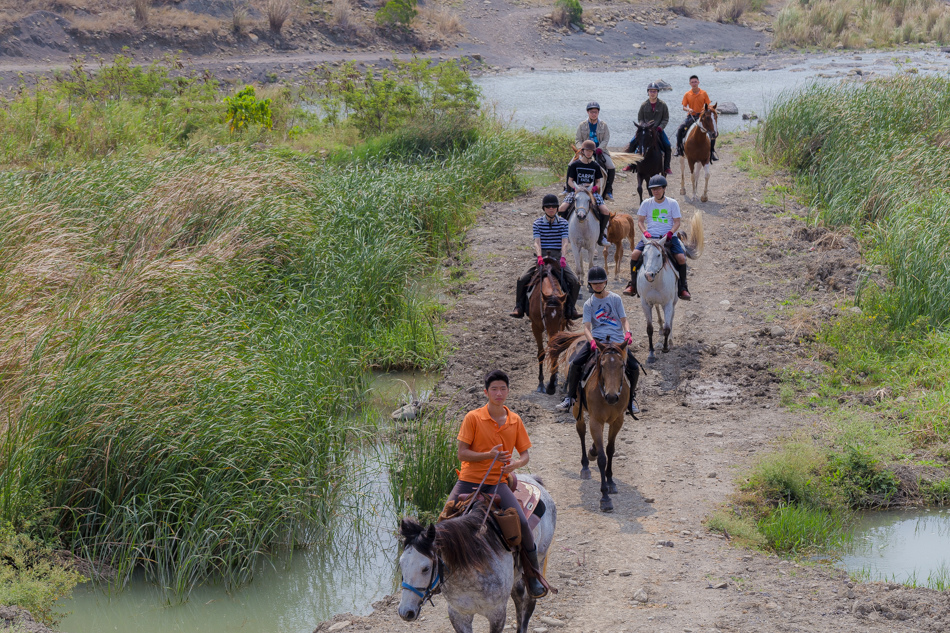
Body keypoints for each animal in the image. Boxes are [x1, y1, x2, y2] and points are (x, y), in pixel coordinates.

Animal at [396, 474, 556, 632]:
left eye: (425, 568)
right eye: (401, 564)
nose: (405, 612)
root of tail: (533, 479)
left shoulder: (497, 614)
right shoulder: (458, 614)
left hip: (539, 561)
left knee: (528, 603)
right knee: (519, 597)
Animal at [528, 260, 572, 392]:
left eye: (561, 314)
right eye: (544, 314)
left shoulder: (561, 326)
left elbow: (556, 349)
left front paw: (554, 380)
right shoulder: (536, 327)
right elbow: (541, 353)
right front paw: (541, 383)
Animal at [548, 334, 628, 512]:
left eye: (621, 365)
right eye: (602, 365)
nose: (612, 396)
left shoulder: (617, 420)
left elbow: (610, 450)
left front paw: (611, 482)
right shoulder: (596, 421)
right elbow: (602, 458)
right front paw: (605, 498)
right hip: (578, 407)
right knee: (581, 431)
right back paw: (585, 465)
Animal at [640, 212, 708, 360]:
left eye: (658, 255)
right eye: (643, 255)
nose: (648, 275)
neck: (655, 283)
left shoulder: (668, 303)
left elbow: (667, 326)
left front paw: (666, 346)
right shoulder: (646, 304)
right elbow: (649, 329)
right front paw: (651, 353)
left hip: (674, 299)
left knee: (670, 318)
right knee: (659, 312)